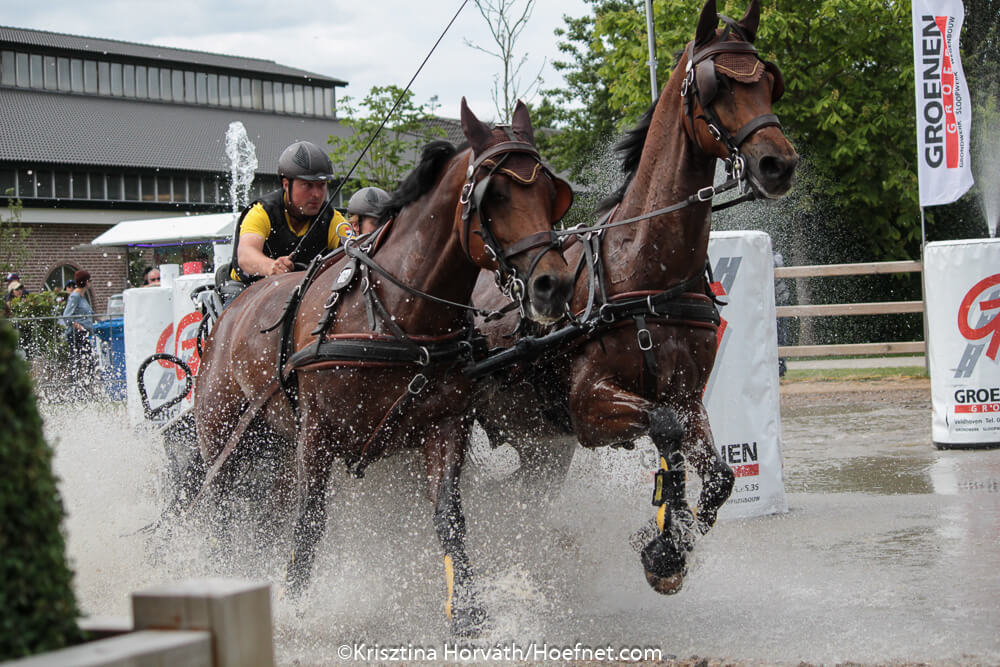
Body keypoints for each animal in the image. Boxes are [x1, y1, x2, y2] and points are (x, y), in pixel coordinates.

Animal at [192, 99, 575, 636]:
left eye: (550, 194)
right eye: (494, 195)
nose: (554, 286)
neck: (394, 313)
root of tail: (230, 307)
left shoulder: (445, 425)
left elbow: (448, 514)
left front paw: (467, 611)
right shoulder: (317, 432)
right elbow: (310, 519)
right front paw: (294, 602)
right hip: (223, 432)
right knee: (222, 505)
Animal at [471, 0, 798, 595]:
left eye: (768, 81)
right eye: (715, 86)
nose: (777, 164)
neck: (644, 270)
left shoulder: (687, 398)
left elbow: (720, 475)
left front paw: (670, 540)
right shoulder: (588, 407)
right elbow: (666, 432)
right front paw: (664, 545)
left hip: (540, 446)